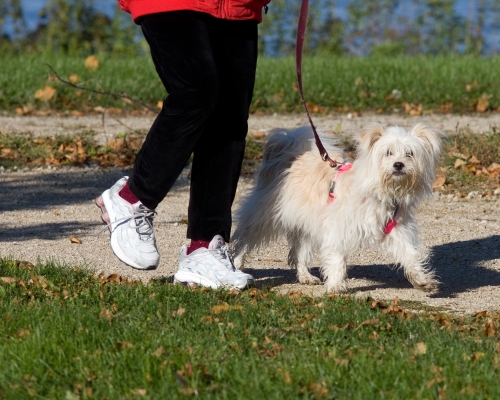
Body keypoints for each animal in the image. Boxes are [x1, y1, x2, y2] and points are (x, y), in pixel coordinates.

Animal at [231, 122, 442, 294]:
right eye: (388, 153)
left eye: (409, 153)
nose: (398, 165)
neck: (376, 191)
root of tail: (286, 152)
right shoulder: (338, 229)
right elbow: (337, 258)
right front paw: (335, 286)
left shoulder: (397, 228)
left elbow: (410, 253)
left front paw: (421, 280)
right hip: (263, 215)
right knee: (245, 239)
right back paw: (237, 264)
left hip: (308, 224)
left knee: (300, 252)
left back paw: (305, 275)